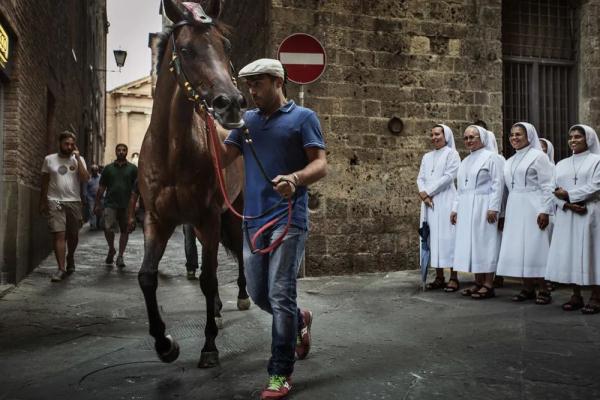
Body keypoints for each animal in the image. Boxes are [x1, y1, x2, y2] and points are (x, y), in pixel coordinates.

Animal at [137, 0, 247, 368]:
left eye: (226, 46)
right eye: (186, 50)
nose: (231, 104)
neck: (173, 152)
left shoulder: (209, 217)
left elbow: (209, 278)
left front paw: (209, 346)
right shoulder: (156, 219)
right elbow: (147, 276)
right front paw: (165, 344)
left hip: (233, 210)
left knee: (239, 252)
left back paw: (242, 296)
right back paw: (216, 310)